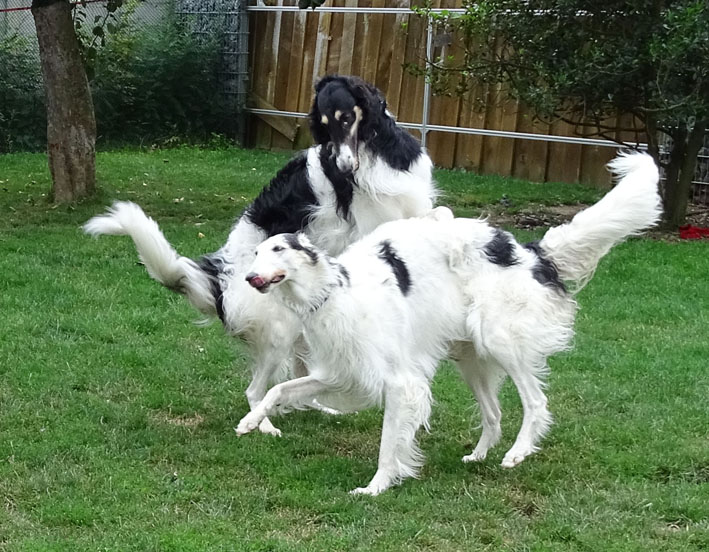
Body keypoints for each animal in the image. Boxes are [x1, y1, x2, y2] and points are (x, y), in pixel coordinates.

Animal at [84, 75, 436, 436]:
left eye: (346, 118)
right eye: (323, 128)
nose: (343, 166)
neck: (376, 151)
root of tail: (220, 279)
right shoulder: (368, 226)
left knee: (302, 382)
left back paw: (317, 407)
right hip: (279, 331)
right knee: (255, 390)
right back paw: (263, 425)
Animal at [236, 153, 662, 495]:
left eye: (278, 249)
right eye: (256, 253)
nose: (249, 278)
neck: (337, 292)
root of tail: (531, 252)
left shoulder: (401, 384)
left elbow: (388, 445)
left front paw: (376, 487)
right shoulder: (338, 373)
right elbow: (278, 390)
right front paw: (251, 422)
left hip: (499, 340)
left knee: (536, 403)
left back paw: (518, 452)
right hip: (470, 357)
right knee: (495, 415)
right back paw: (478, 456)